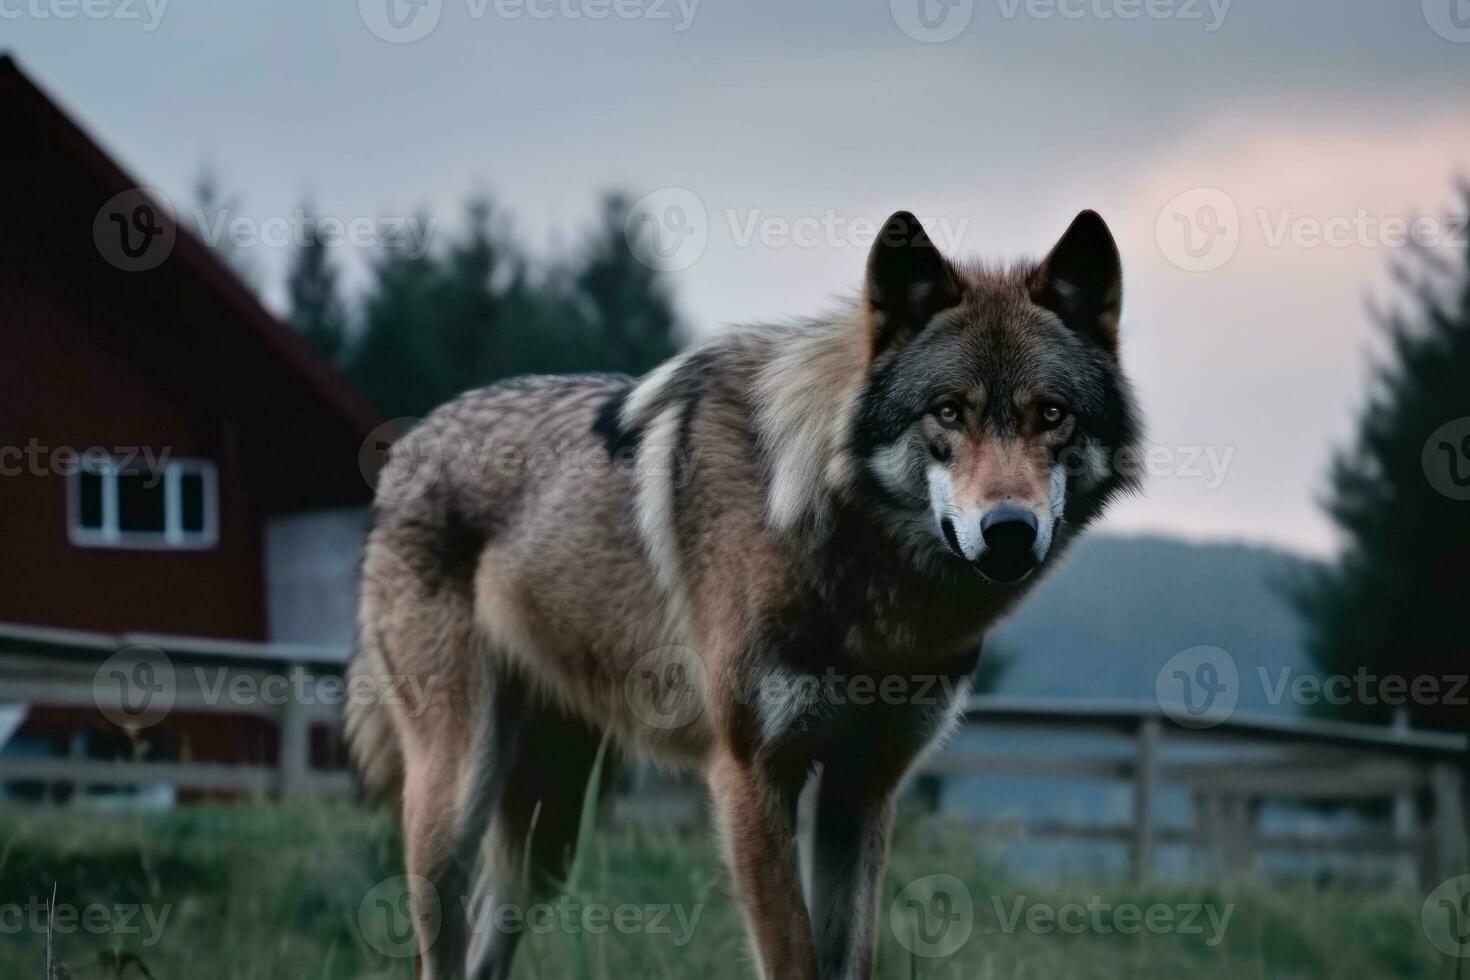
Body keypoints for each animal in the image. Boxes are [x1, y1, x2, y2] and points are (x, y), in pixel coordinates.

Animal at [346, 211, 1146, 975]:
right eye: (948, 412)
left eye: (1052, 414)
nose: (1009, 530)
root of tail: (414, 440)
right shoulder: (752, 776)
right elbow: (793, 958)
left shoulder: (862, 788)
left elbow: (849, 958)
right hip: (457, 800)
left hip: (553, 831)